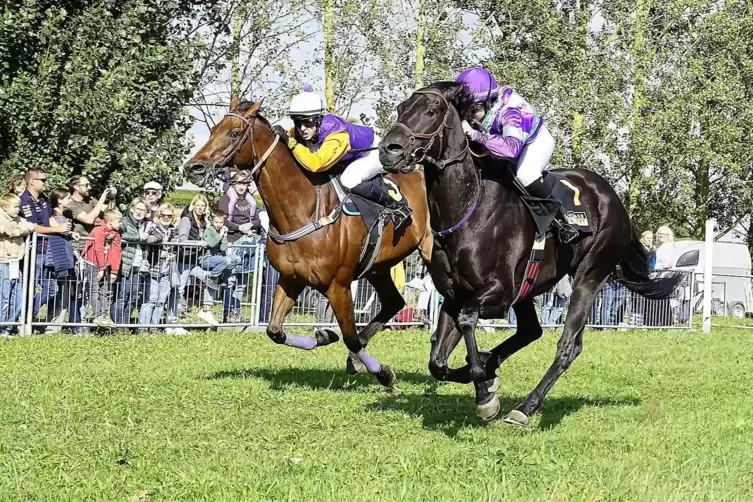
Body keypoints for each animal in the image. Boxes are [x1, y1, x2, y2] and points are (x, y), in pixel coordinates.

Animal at [183, 99, 432, 388]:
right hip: (378, 267)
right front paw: (324, 336)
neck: (303, 209)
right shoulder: (290, 279)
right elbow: (274, 330)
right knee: (394, 303)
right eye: (213, 131)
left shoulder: (339, 286)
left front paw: (382, 373)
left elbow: (350, 337)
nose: (193, 167)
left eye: (234, 133)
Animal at [378, 81, 680, 424]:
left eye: (431, 111)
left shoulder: (499, 292)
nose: (388, 149)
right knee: (531, 331)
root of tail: (613, 198)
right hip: (530, 288)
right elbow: (437, 362)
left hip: (589, 277)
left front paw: (485, 394)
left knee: (568, 346)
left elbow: (468, 322)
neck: (468, 210)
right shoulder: (454, 294)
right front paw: (485, 374)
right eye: (401, 108)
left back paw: (525, 407)